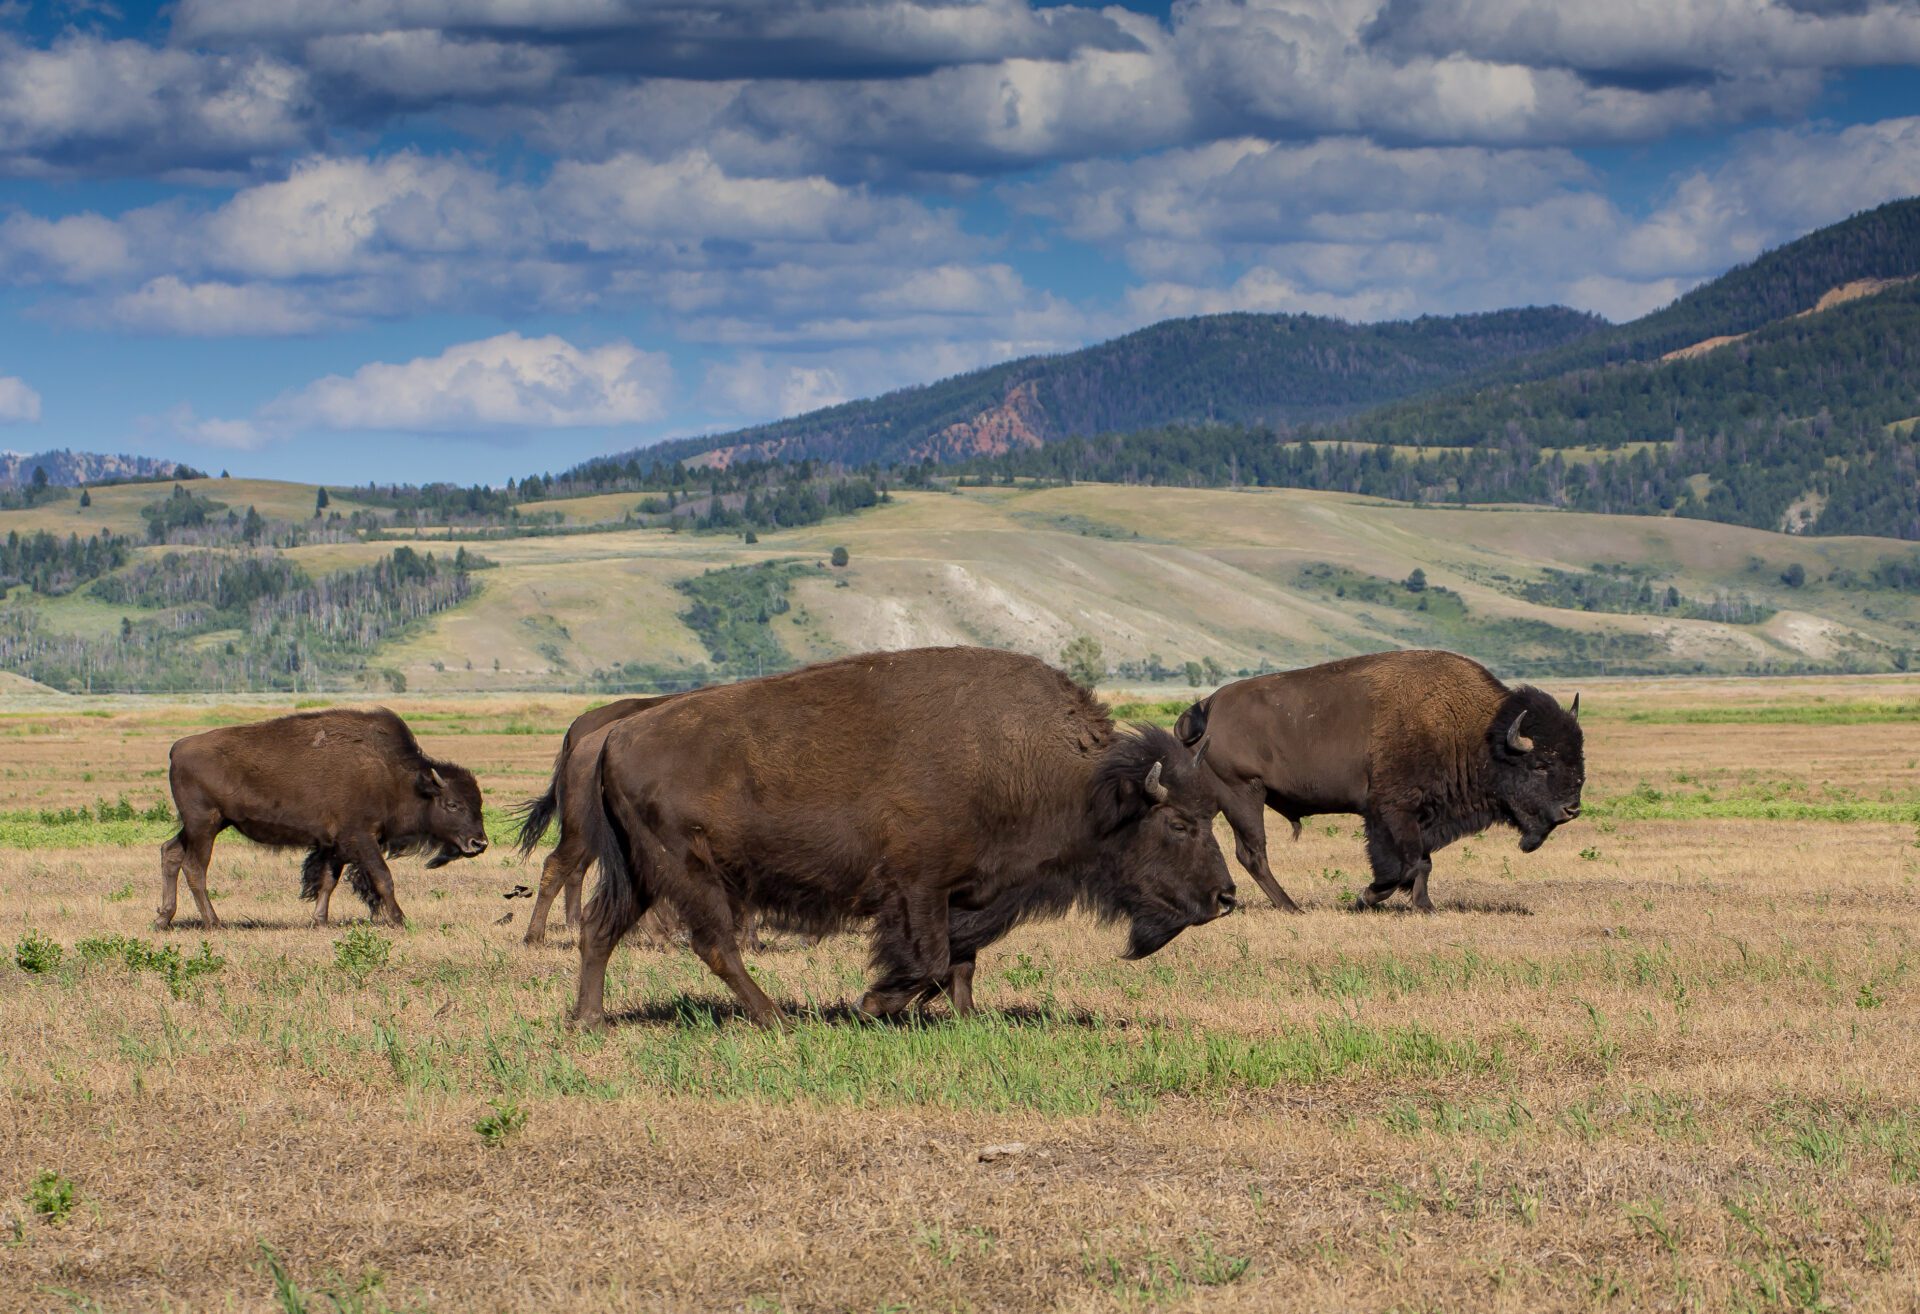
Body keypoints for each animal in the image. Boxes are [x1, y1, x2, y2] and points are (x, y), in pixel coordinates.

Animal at [157, 708, 489, 930]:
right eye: (453, 804)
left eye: (478, 803)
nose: (479, 842)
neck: (399, 777)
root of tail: (178, 748)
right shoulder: (361, 838)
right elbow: (383, 878)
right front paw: (399, 919)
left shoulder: (335, 844)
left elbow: (329, 881)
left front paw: (320, 920)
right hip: (205, 824)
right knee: (195, 867)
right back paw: (214, 922)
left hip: (203, 825)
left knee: (170, 852)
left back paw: (163, 919)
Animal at [572, 646, 1236, 1028]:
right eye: (1179, 823)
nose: (1226, 897)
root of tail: (616, 736)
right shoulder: (918, 887)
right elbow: (934, 959)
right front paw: (873, 1005)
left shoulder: (969, 893)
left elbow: (961, 962)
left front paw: (967, 1021)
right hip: (689, 872)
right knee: (715, 945)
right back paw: (776, 1019)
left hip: (641, 874)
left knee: (600, 930)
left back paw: (588, 1021)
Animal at [1176, 649, 1582, 912]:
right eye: (1541, 764)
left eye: (1578, 756)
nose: (1571, 809)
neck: (1477, 732)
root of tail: (1208, 706)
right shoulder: (1392, 810)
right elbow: (1407, 862)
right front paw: (1375, 897)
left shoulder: (1422, 815)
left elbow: (1422, 860)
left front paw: (1417, 903)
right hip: (1244, 793)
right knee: (1253, 853)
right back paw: (1291, 907)